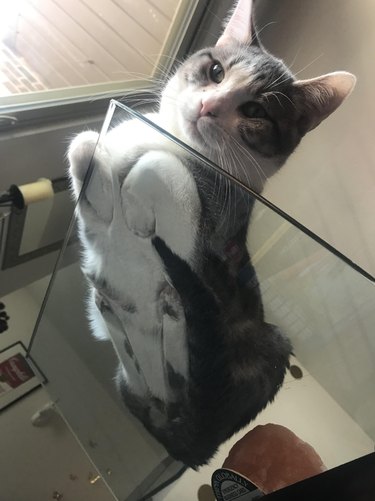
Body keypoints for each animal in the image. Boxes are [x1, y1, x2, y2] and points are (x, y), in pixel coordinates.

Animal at [67, 0, 356, 468]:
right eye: (217, 72)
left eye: (256, 111)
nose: (209, 105)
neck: (173, 141)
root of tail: (196, 443)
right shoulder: (95, 206)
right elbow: (86, 141)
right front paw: (107, 182)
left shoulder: (212, 235)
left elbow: (164, 170)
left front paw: (135, 204)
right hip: (127, 362)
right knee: (139, 374)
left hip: (263, 339)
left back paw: (172, 324)